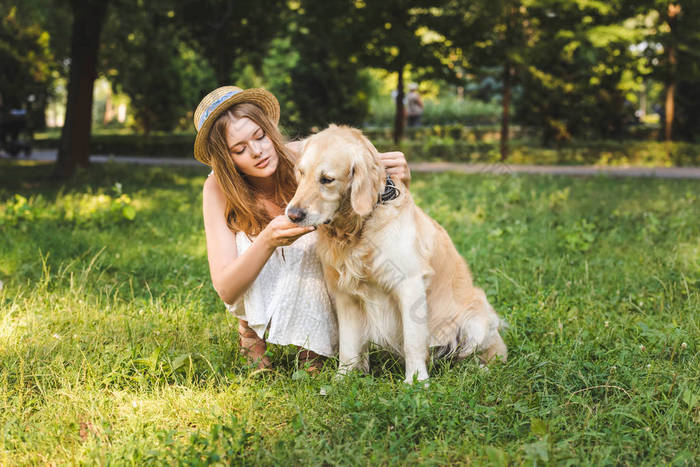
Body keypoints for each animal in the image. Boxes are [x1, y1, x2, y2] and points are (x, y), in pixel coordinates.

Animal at [286, 126, 508, 382]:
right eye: (301, 173)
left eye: (327, 179)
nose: (292, 214)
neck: (358, 227)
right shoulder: (345, 294)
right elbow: (348, 345)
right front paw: (343, 378)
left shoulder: (410, 285)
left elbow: (413, 341)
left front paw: (416, 381)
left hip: (476, 319)